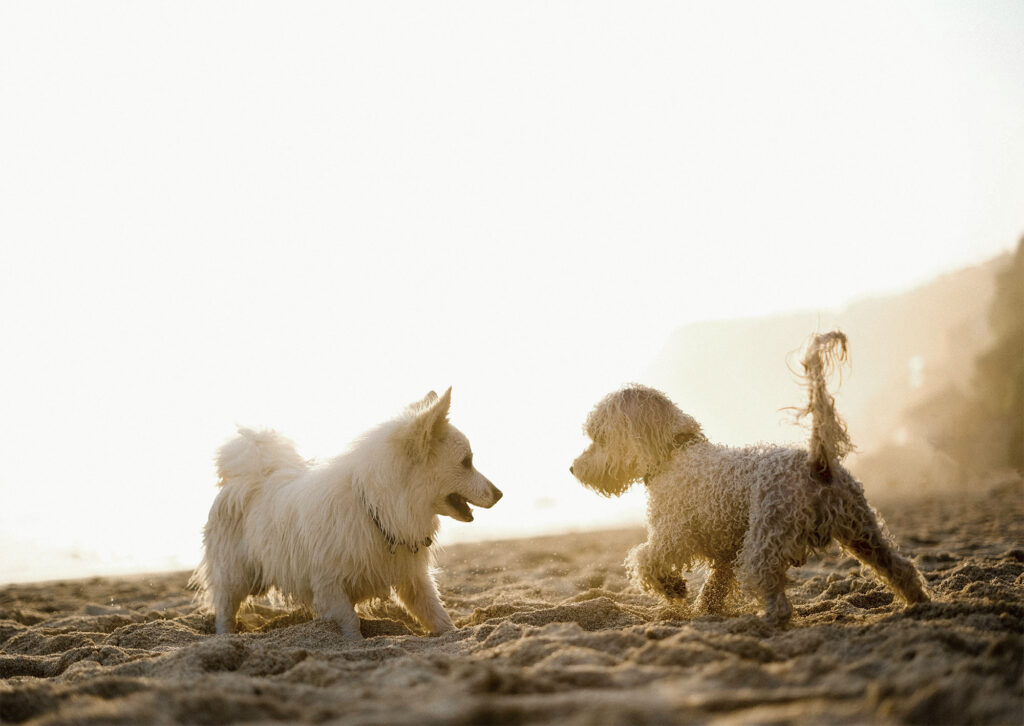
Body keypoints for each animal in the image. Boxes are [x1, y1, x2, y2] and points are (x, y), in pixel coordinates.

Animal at [192, 387, 503, 638]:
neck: (379, 509)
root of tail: (247, 478)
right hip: (234, 577)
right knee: (225, 611)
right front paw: (355, 641)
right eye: (467, 462)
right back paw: (225, 637)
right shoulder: (329, 587)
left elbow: (437, 614)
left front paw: (454, 634)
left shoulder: (413, 580)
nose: (500, 494)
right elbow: (351, 625)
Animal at [573, 333, 933, 622]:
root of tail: (816, 462)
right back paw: (920, 604)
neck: (676, 453)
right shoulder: (724, 552)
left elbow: (645, 559)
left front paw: (673, 588)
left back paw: (768, 620)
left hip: (766, 539)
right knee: (900, 568)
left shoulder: (673, 534)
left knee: (772, 589)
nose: (573, 469)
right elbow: (714, 586)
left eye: (599, 437)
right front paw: (704, 609)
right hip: (862, 531)